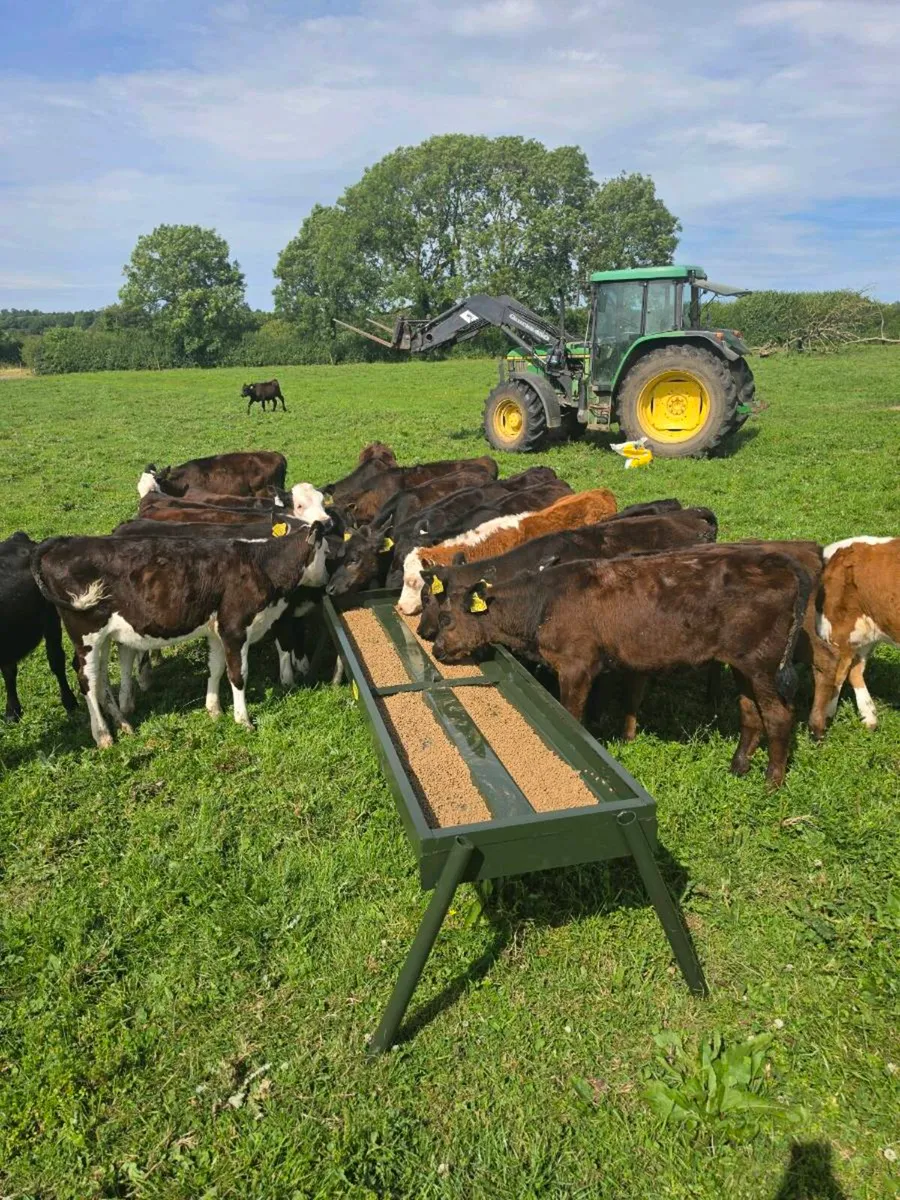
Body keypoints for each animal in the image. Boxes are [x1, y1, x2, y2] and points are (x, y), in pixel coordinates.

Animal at [32, 519, 328, 747]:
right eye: (326, 552)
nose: (326, 582)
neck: (259, 564)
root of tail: (63, 542)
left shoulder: (216, 631)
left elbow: (216, 668)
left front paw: (214, 709)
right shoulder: (234, 628)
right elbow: (238, 674)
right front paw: (243, 719)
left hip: (102, 636)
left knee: (100, 677)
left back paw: (123, 723)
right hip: (87, 634)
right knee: (88, 679)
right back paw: (103, 735)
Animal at [432, 544, 812, 788]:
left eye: (447, 619)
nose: (435, 648)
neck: (543, 602)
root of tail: (778, 563)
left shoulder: (577, 665)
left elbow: (571, 716)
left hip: (764, 664)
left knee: (778, 716)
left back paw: (771, 782)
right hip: (742, 665)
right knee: (750, 712)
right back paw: (738, 766)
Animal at [810, 536, 899, 736]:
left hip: (863, 633)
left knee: (854, 669)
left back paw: (869, 718)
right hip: (840, 629)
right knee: (836, 672)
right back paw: (825, 719)